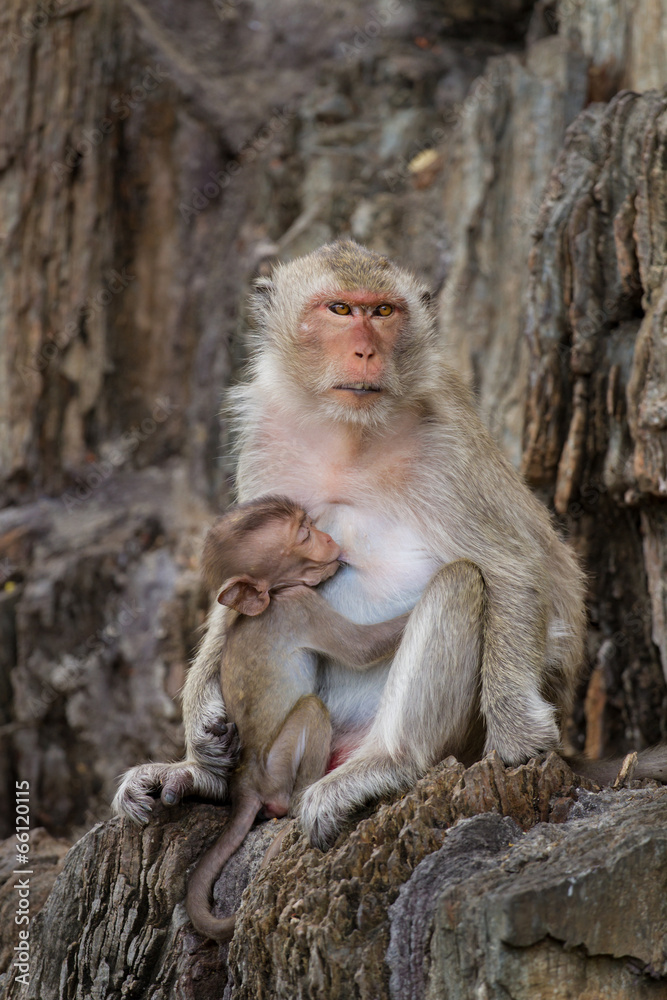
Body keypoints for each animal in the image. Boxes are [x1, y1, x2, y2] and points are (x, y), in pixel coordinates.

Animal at [115, 238, 667, 856]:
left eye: (382, 312)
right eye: (338, 309)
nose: (365, 351)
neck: (348, 434)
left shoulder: (445, 445)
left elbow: (515, 567)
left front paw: (519, 735)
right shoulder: (265, 432)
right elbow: (233, 592)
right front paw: (199, 739)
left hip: (446, 741)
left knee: (461, 582)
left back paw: (389, 764)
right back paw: (205, 779)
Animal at [185, 496, 410, 940]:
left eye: (309, 524)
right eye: (304, 535)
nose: (329, 538)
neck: (274, 595)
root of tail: (244, 786)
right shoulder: (302, 607)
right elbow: (361, 648)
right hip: (277, 768)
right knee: (311, 711)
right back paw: (305, 799)